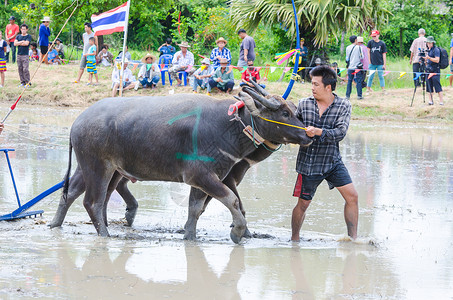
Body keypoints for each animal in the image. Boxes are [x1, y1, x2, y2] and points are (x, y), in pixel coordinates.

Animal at [51, 84, 308, 241]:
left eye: (295, 110)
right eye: (284, 113)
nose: (308, 135)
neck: (227, 125)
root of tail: (78, 122)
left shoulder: (207, 179)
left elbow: (196, 208)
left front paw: (190, 235)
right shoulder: (203, 176)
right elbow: (233, 201)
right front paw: (238, 231)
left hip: (97, 168)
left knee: (73, 193)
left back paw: (55, 224)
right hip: (97, 167)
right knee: (93, 201)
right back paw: (104, 234)